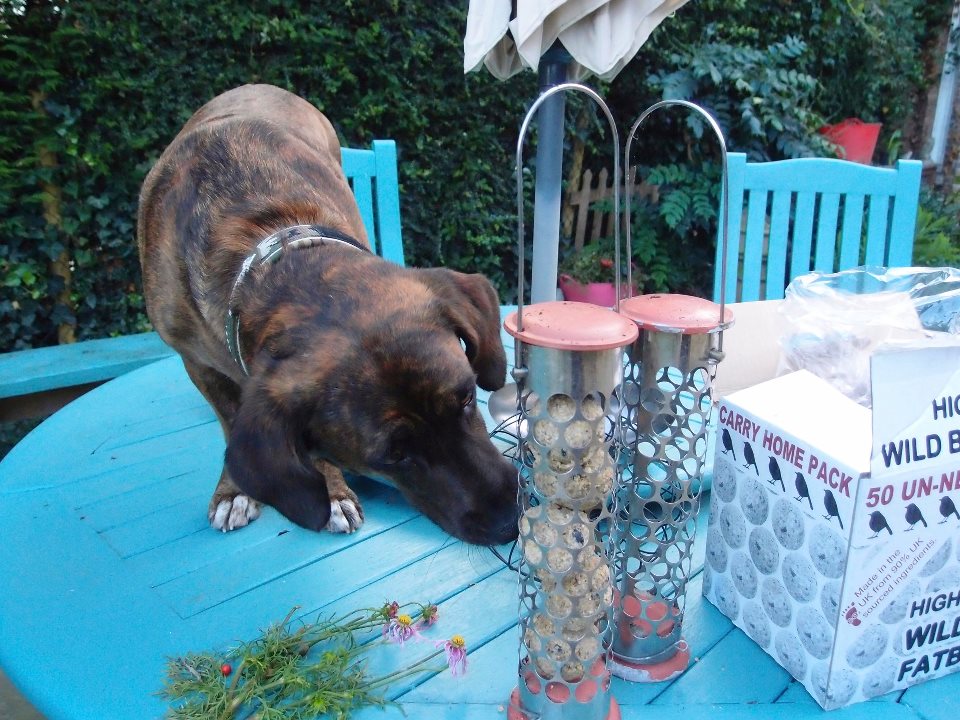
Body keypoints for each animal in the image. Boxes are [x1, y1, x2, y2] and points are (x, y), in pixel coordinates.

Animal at [137, 84, 519, 546]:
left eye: (466, 399)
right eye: (394, 455)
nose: (510, 522)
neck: (268, 243)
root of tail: (255, 85)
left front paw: (331, 487)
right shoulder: (197, 362)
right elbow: (233, 423)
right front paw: (238, 489)